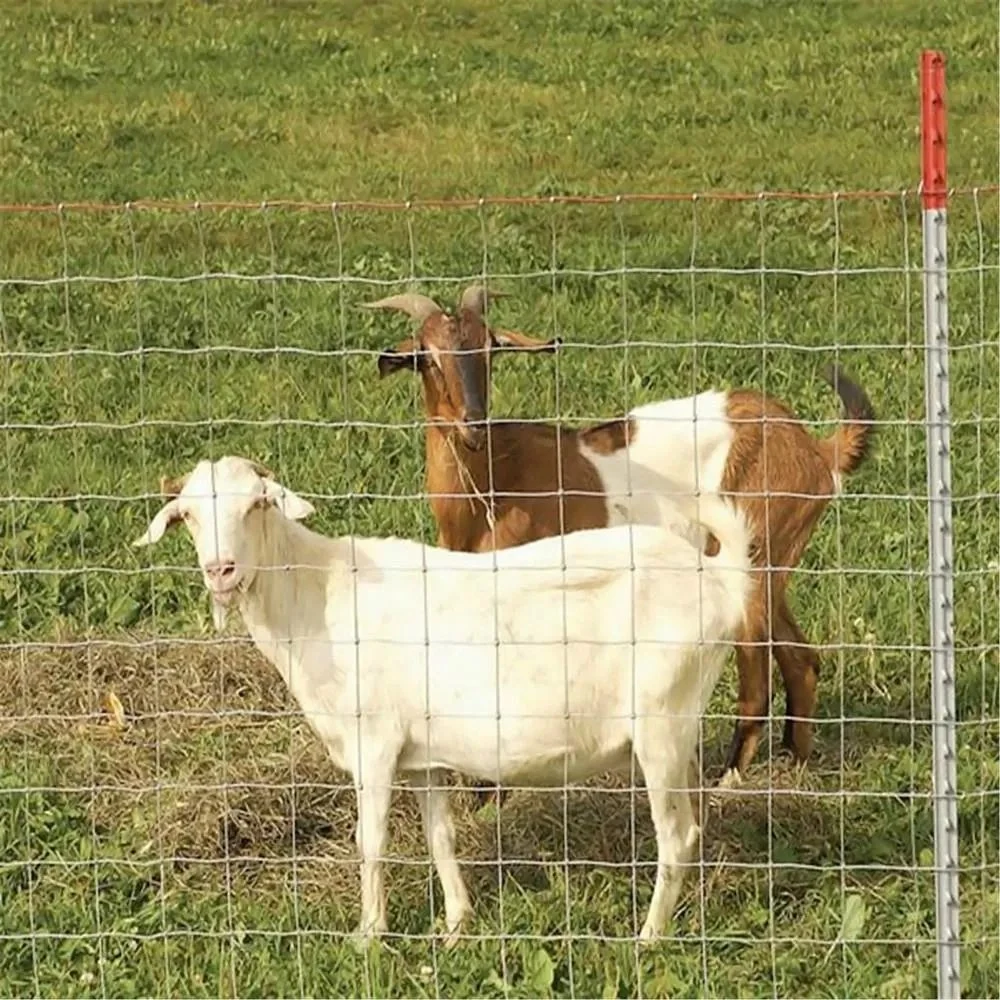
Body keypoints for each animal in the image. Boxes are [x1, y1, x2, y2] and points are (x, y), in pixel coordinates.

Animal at [137, 458, 752, 940]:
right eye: (188, 515)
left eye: (256, 505)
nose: (221, 571)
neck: (317, 593)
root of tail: (720, 579)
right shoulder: (423, 757)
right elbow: (440, 836)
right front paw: (457, 924)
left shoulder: (375, 743)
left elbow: (371, 840)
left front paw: (369, 935)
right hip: (678, 730)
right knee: (693, 821)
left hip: (660, 724)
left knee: (676, 834)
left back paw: (649, 939)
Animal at [370, 288, 876, 796]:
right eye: (427, 357)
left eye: (490, 349)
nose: (472, 422)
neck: (491, 486)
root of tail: (816, 451)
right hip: (774, 562)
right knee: (801, 659)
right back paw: (797, 766)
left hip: (753, 556)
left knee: (757, 677)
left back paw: (728, 781)